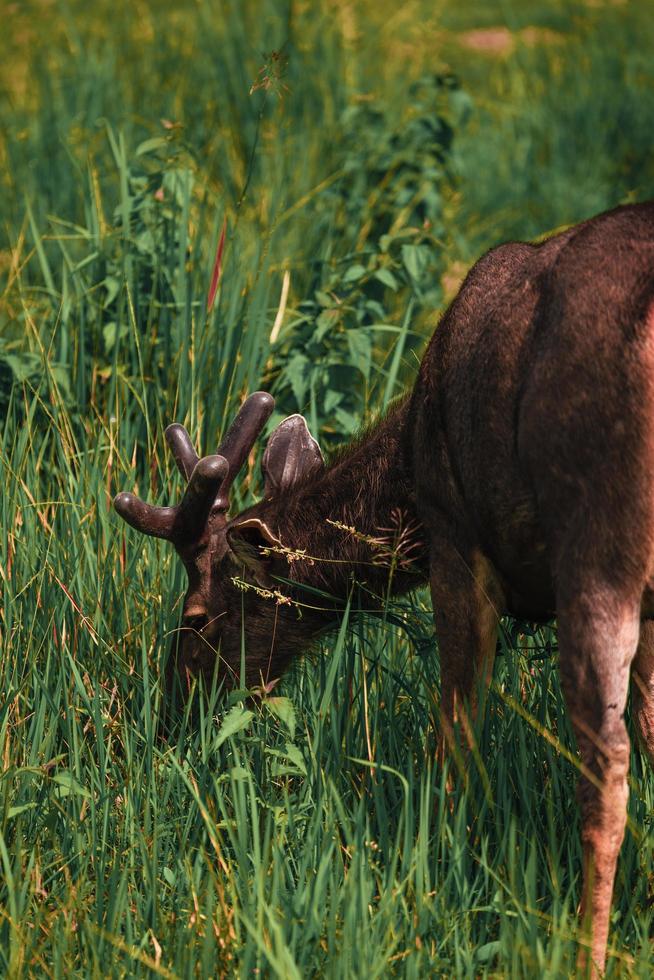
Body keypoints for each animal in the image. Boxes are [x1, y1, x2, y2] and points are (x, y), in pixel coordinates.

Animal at [115, 201, 654, 972]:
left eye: (196, 617)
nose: (170, 719)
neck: (407, 472)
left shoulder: (456, 540)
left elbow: (456, 730)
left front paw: (440, 862)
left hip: (595, 537)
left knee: (603, 764)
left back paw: (586, 954)